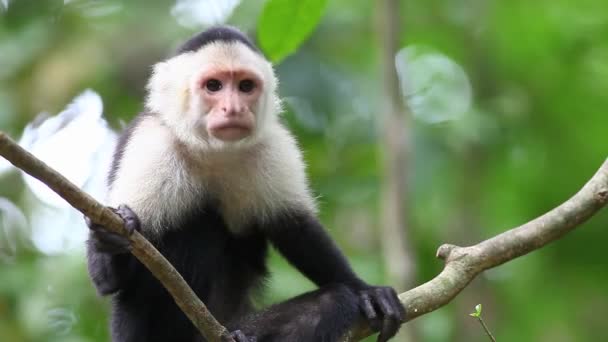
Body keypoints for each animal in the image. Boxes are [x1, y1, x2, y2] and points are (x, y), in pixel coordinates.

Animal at [84, 25, 404, 340]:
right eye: (214, 86)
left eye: (245, 87)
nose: (234, 108)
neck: (213, 151)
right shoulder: (151, 145)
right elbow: (110, 280)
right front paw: (111, 238)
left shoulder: (273, 145)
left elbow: (295, 227)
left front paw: (365, 290)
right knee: (200, 222)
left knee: (333, 300)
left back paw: (242, 336)